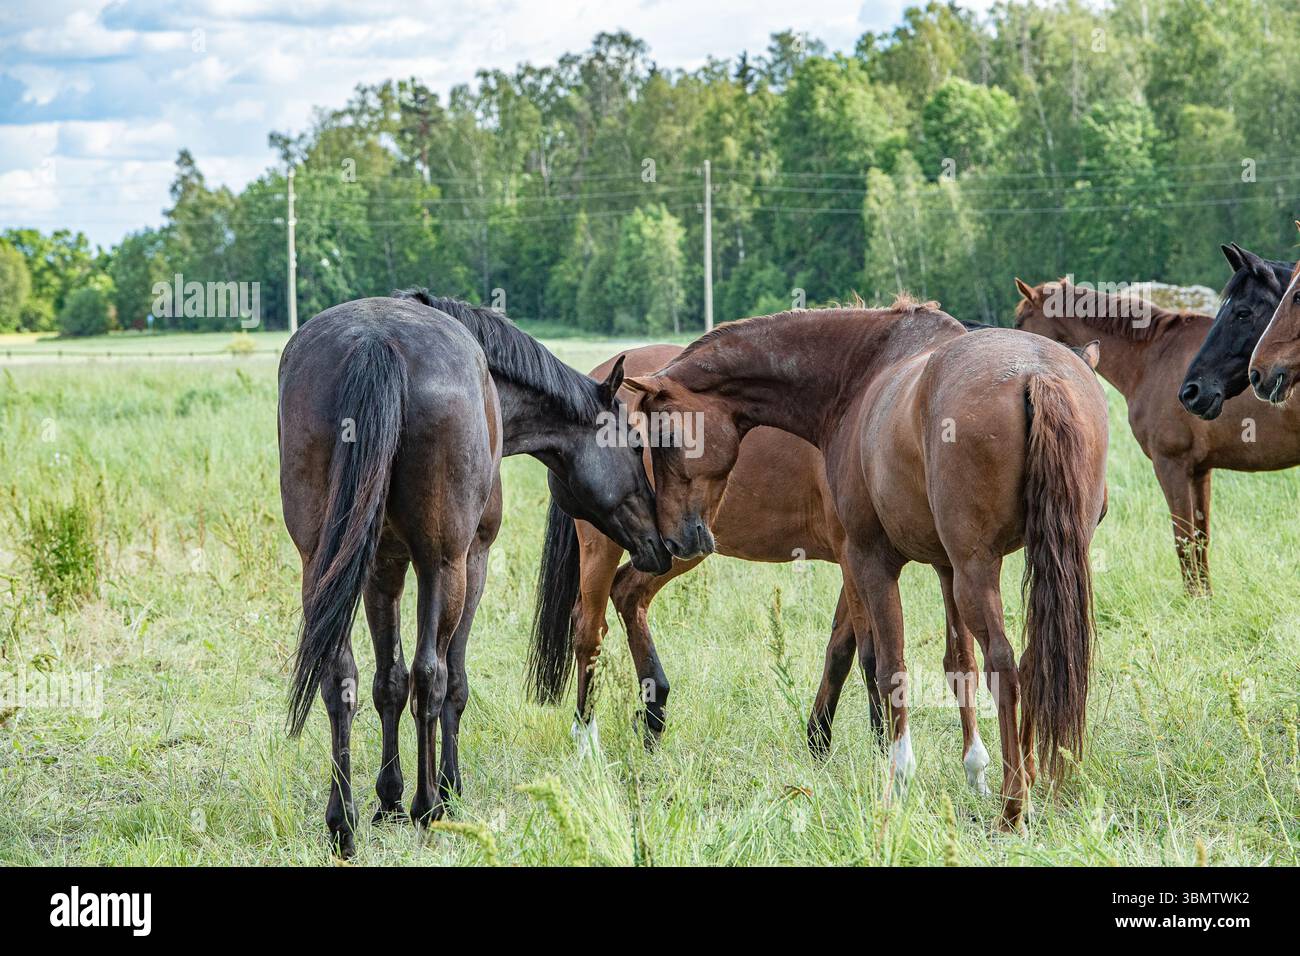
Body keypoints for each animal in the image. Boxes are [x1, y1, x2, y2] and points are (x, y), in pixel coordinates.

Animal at [278, 292, 669, 856]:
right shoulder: (472, 559)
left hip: (321, 565)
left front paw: (388, 798)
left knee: (341, 677)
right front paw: (445, 790)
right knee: (431, 675)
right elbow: (452, 681)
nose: (664, 541)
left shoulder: (382, 566)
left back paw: (343, 824)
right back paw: (427, 808)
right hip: (446, 566)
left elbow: (387, 682)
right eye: (637, 445)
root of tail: (377, 342)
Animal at [622, 299, 1108, 828]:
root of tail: (1037, 373)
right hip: (1022, 565)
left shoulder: (868, 558)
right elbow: (958, 664)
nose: (675, 536)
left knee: (1004, 662)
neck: (860, 377)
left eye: (667, 437)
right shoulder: (944, 567)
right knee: (1036, 659)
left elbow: (888, 665)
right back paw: (1025, 781)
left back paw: (1014, 803)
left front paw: (899, 775)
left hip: (977, 569)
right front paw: (974, 770)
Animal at [1014, 277, 1300, 594]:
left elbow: (1183, 539)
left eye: (1020, 322)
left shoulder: (1171, 465)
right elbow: (1200, 538)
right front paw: (1206, 598)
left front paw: (1193, 599)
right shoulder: (1200, 471)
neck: (1152, 356)